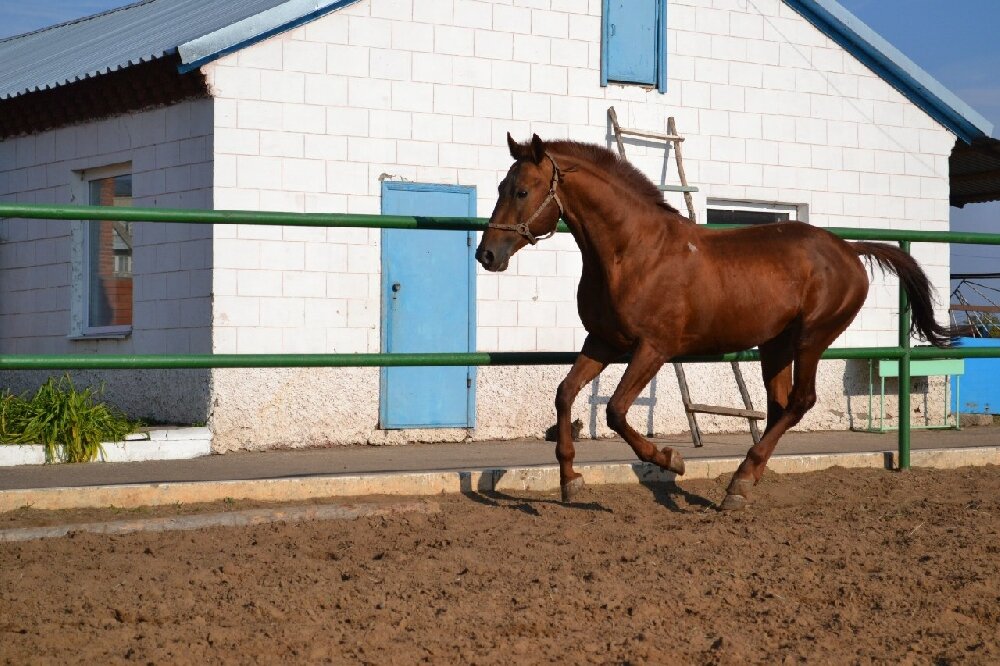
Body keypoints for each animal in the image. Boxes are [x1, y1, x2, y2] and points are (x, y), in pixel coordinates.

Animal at [476, 134, 952, 508]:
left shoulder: (654, 348)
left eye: (522, 191)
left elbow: (615, 410)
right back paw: (743, 482)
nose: (487, 254)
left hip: (811, 339)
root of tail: (850, 250)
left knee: (800, 402)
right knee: (779, 406)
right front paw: (570, 479)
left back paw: (739, 481)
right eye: (501, 186)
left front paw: (671, 460)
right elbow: (565, 393)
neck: (633, 251)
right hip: (774, 345)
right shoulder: (603, 341)